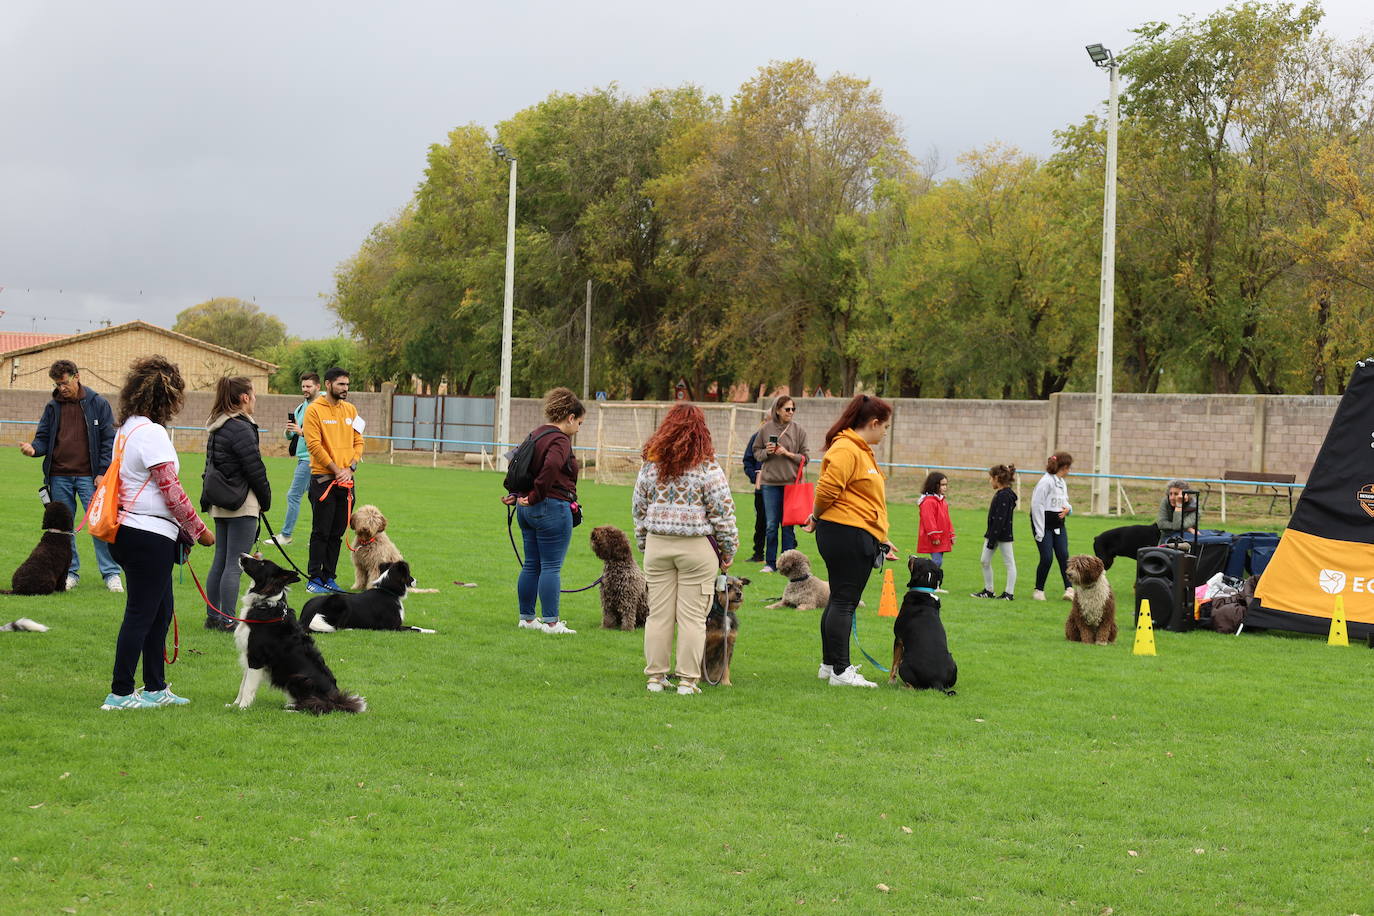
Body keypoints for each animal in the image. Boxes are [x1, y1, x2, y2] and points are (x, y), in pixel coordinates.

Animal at [233, 552, 368, 714]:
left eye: (262, 564)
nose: (241, 554)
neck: (265, 603)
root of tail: (334, 700)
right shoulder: (248, 655)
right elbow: (242, 685)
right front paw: (234, 705)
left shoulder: (256, 657)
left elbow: (247, 687)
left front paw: (242, 708)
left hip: (299, 677)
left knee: (316, 707)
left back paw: (290, 710)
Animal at [300, 563, 434, 634]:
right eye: (408, 574)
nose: (416, 581)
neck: (388, 591)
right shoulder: (392, 627)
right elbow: (415, 629)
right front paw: (431, 631)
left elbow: (415, 627)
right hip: (339, 602)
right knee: (338, 628)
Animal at [890, 560, 956, 694]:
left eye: (915, 561)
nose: (911, 556)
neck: (923, 591)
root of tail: (937, 681)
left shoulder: (898, 639)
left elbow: (894, 663)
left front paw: (891, 681)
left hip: (904, 665)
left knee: (914, 687)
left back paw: (902, 687)